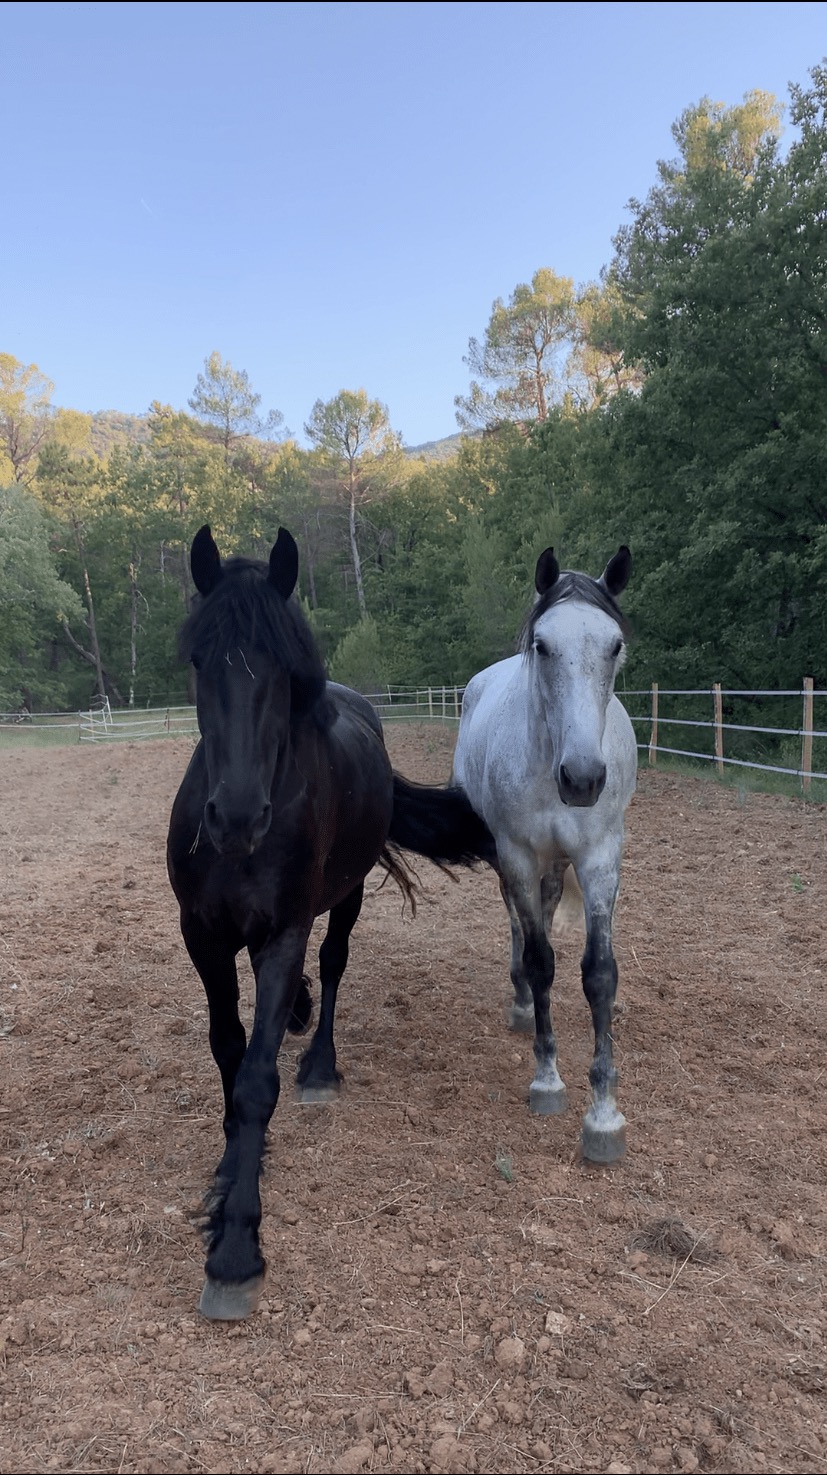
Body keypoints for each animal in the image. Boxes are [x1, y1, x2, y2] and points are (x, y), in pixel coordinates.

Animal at [167, 524, 491, 1320]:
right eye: (198, 660)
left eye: (284, 669)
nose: (238, 816)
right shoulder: (203, 935)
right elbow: (228, 1051)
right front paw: (230, 1165)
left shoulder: (283, 932)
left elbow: (256, 1080)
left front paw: (234, 1248)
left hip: (347, 896)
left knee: (335, 964)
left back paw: (318, 1063)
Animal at [450, 545, 637, 1164]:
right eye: (542, 645)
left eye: (614, 645)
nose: (582, 779)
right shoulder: (517, 855)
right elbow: (540, 959)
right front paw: (547, 1079)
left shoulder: (599, 858)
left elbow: (598, 973)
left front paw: (603, 1114)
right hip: (512, 862)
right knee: (518, 924)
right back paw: (522, 1003)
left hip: (559, 864)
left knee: (549, 912)